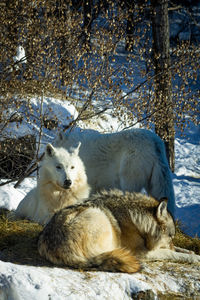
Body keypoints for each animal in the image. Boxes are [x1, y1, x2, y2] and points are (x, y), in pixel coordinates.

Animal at [38, 191, 198, 274]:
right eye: (171, 236)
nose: (171, 243)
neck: (137, 222)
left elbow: (178, 250)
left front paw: (190, 252)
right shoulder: (141, 252)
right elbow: (172, 254)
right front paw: (195, 258)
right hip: (98, 216)